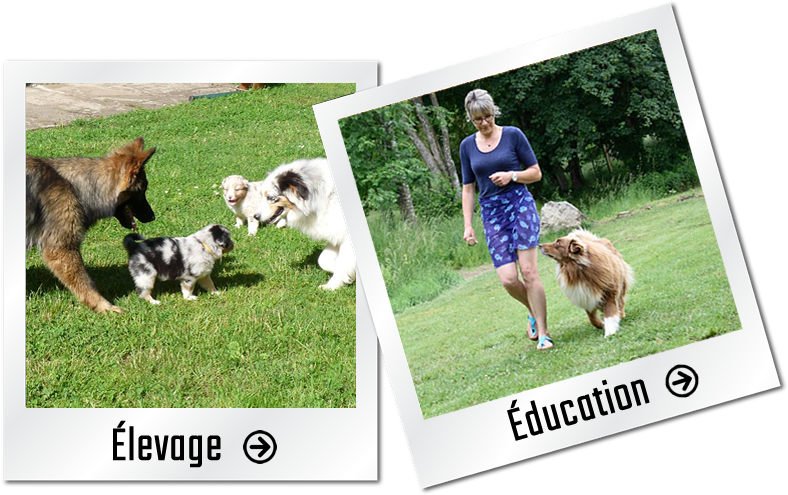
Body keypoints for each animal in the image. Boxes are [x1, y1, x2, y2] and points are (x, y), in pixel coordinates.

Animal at [254, 158, 356, 290]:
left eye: (270, 198)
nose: (255, 216)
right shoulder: (333, 231)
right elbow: (323, 260)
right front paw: (347, 276)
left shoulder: (345, 237)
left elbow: (343, 262)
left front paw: (331, 286)